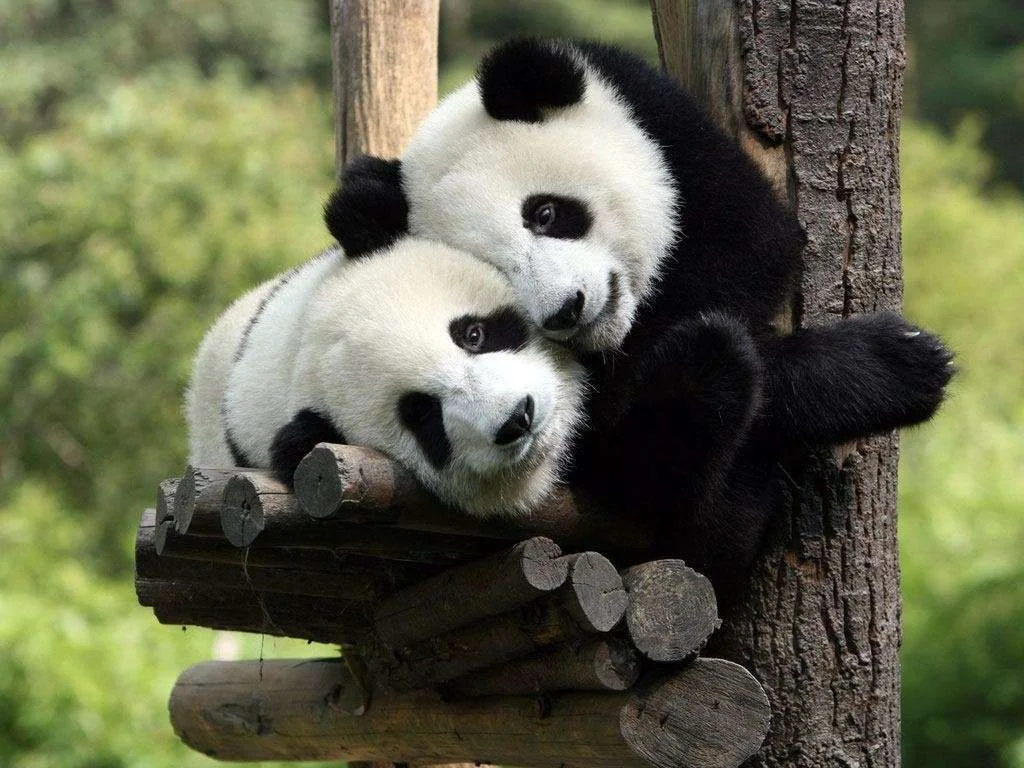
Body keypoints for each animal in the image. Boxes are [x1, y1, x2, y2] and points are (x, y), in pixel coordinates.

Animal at [353, 39, 954, 605]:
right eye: (497, 273)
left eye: (545, 213)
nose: (567, 309)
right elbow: (621, 444)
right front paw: (894, 365)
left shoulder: (666, 130)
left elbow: (753, 244)